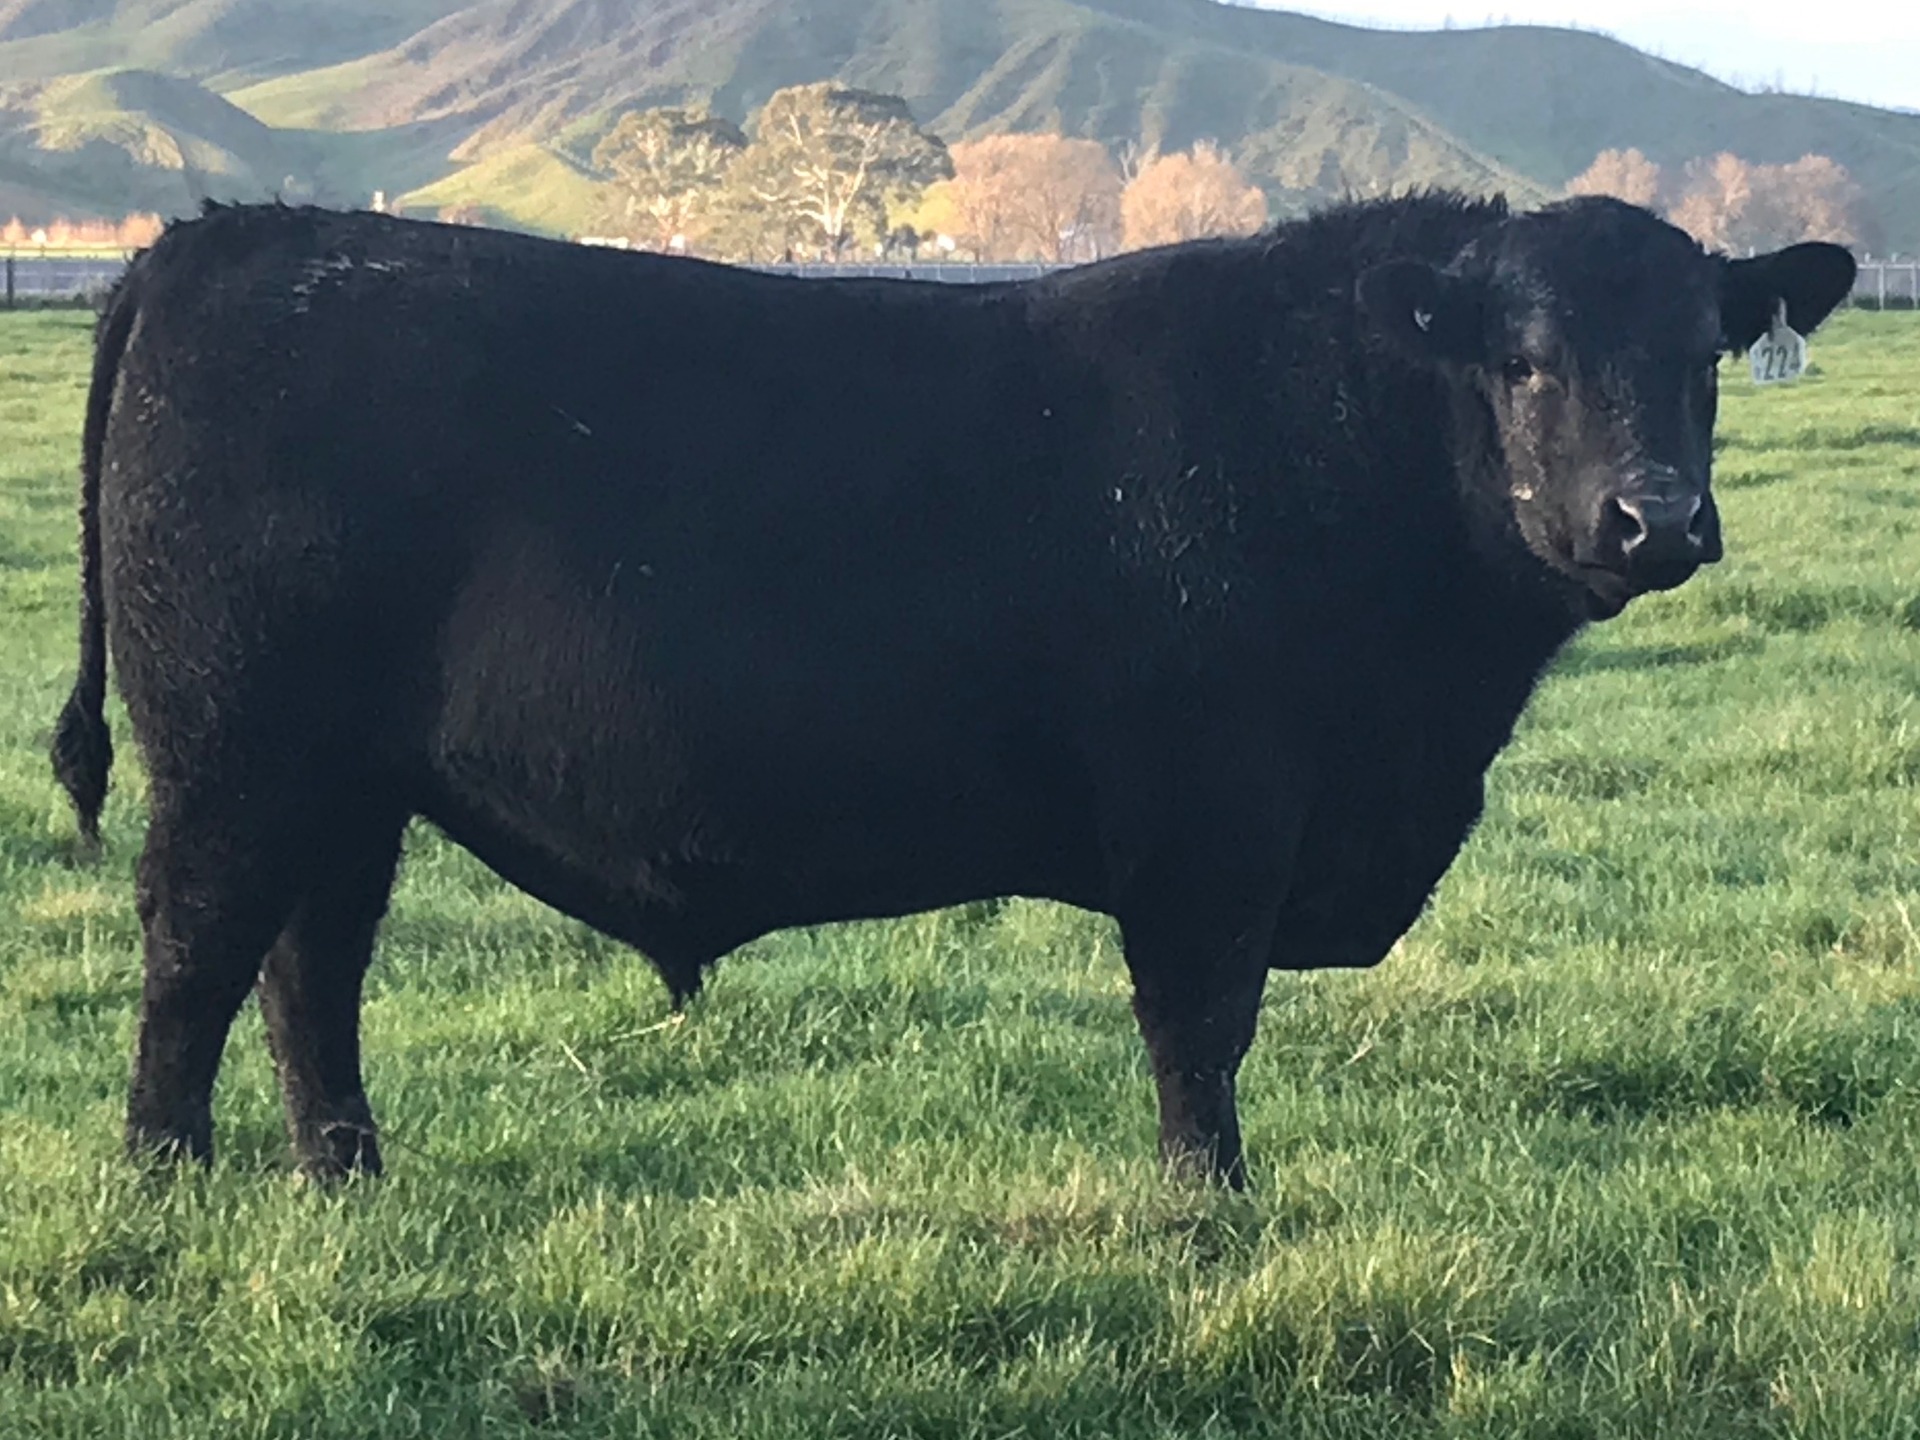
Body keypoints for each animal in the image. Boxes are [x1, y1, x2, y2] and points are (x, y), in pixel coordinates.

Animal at [52, 194, 1854, 1187]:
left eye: (1708, 355)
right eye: (1524, 360)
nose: (1655, 517)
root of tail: (230, 237)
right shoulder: (1211, 824)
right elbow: (1200, 1030)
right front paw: (1212, 1218)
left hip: (345, 782)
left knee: (309, 972)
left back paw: (344, 1183)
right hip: (236, 756)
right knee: (196, 957)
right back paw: (166, 1186)